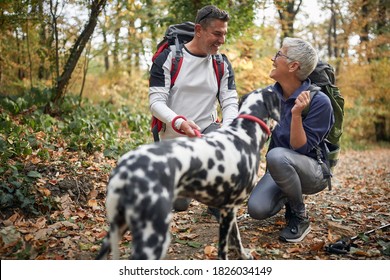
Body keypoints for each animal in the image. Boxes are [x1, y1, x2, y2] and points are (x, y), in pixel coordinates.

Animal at [96, 87, 280, 260]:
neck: (244, 135)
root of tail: (124, 170)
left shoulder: (229, 210)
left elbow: (236, 238)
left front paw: (243, 255)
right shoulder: (228, 211)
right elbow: (223, 251)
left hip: (117, 229)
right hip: (154, 237)